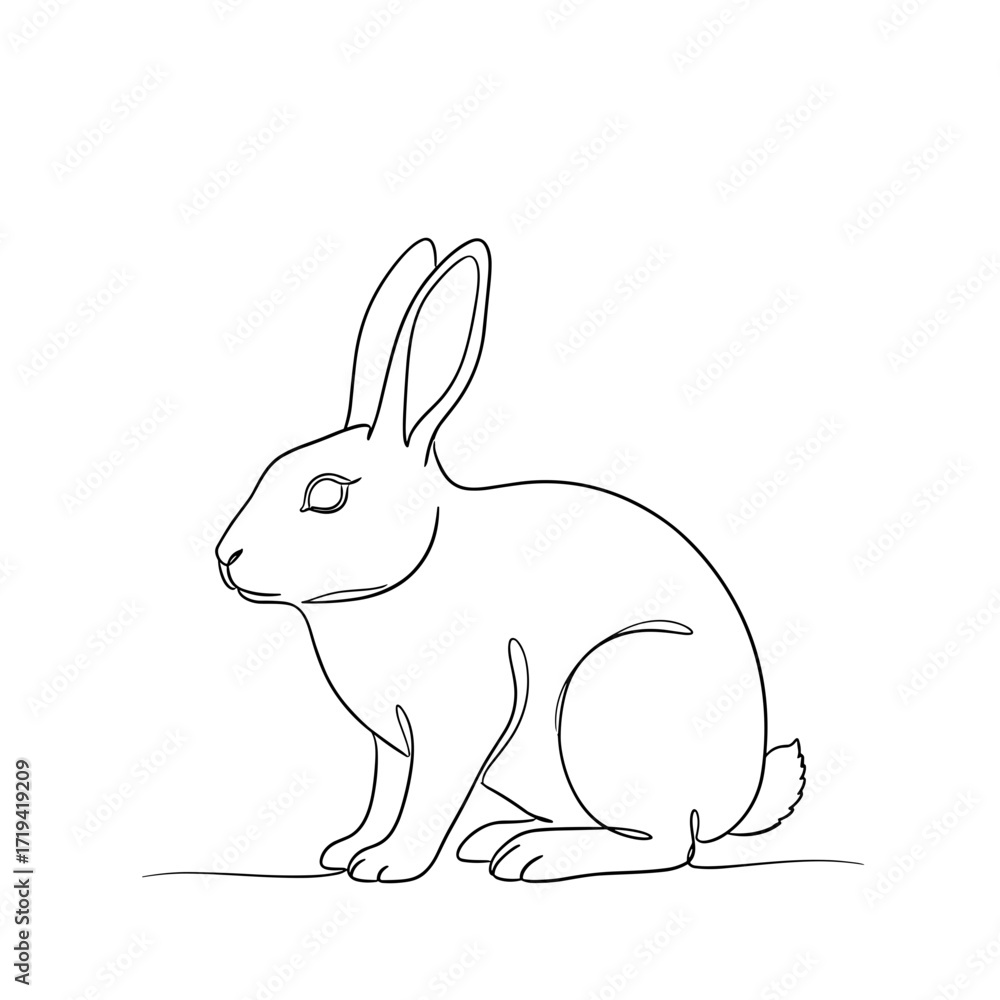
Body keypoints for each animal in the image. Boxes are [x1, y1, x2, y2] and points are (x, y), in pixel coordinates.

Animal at [214, 237, 806, 883]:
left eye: (326, 495)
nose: (226, 557)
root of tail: (737, 799)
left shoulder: (459, 721)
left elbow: (426, 795)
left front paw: (388, 864)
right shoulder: (390, 745)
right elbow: (385, 793)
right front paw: (347, 852)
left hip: (608, 699)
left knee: (665, 843)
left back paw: (535, 857)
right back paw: (494, 839)